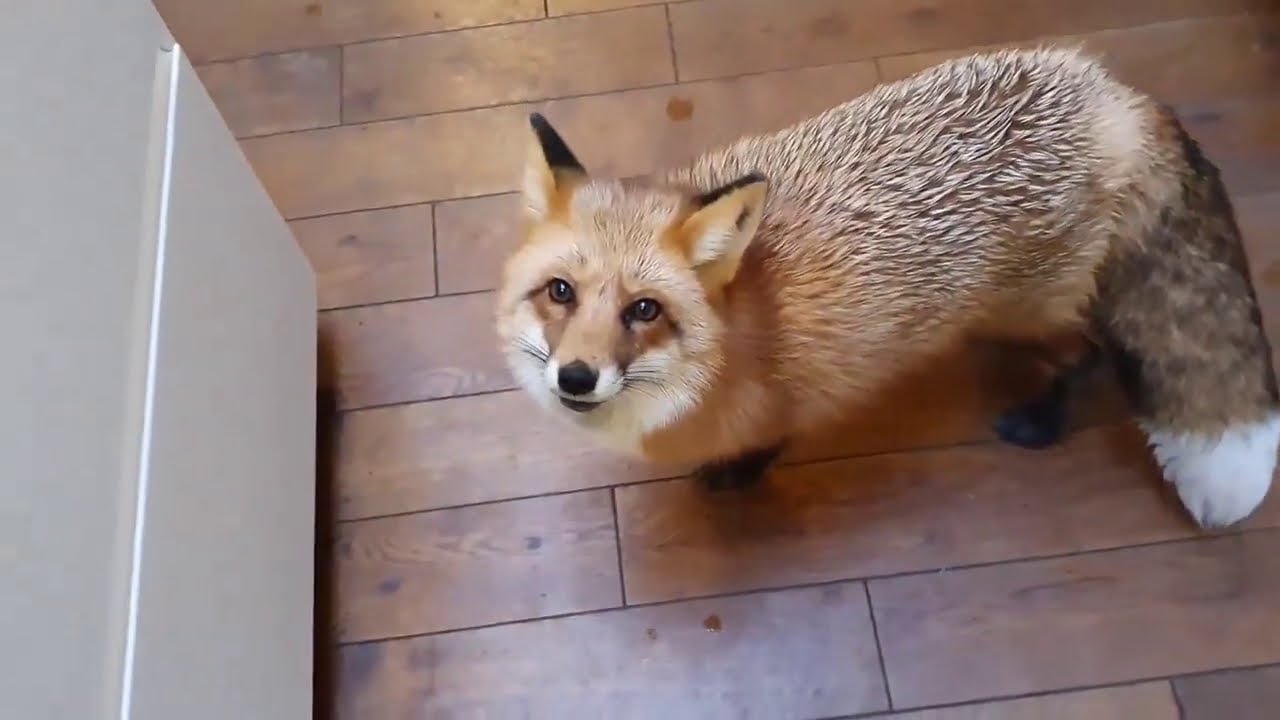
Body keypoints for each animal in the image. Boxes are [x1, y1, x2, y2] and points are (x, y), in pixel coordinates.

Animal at [494, 46, 1279, 529]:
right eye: (560, 293)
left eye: (644, 310)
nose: (576, 376)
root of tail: (1113, 96)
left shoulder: (794, 390)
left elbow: (769, 441)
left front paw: (740, 474)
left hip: (1020, 312)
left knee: (1091, 352)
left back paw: (1042, 418)